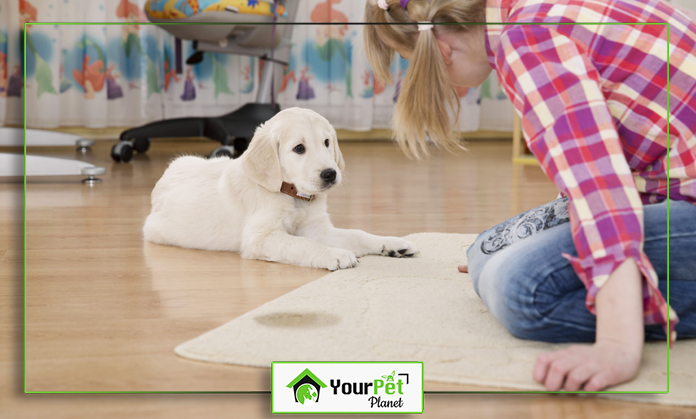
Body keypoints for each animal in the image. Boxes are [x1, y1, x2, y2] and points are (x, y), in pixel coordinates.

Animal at [143, 107, 418, 272]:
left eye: (327, 142)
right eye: (299, 148)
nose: (330, 174)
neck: (294, 196)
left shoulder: (318, 229)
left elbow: (357, 234)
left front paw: (392, 243)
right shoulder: (260, 238)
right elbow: (303, 244)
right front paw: (335, 254)